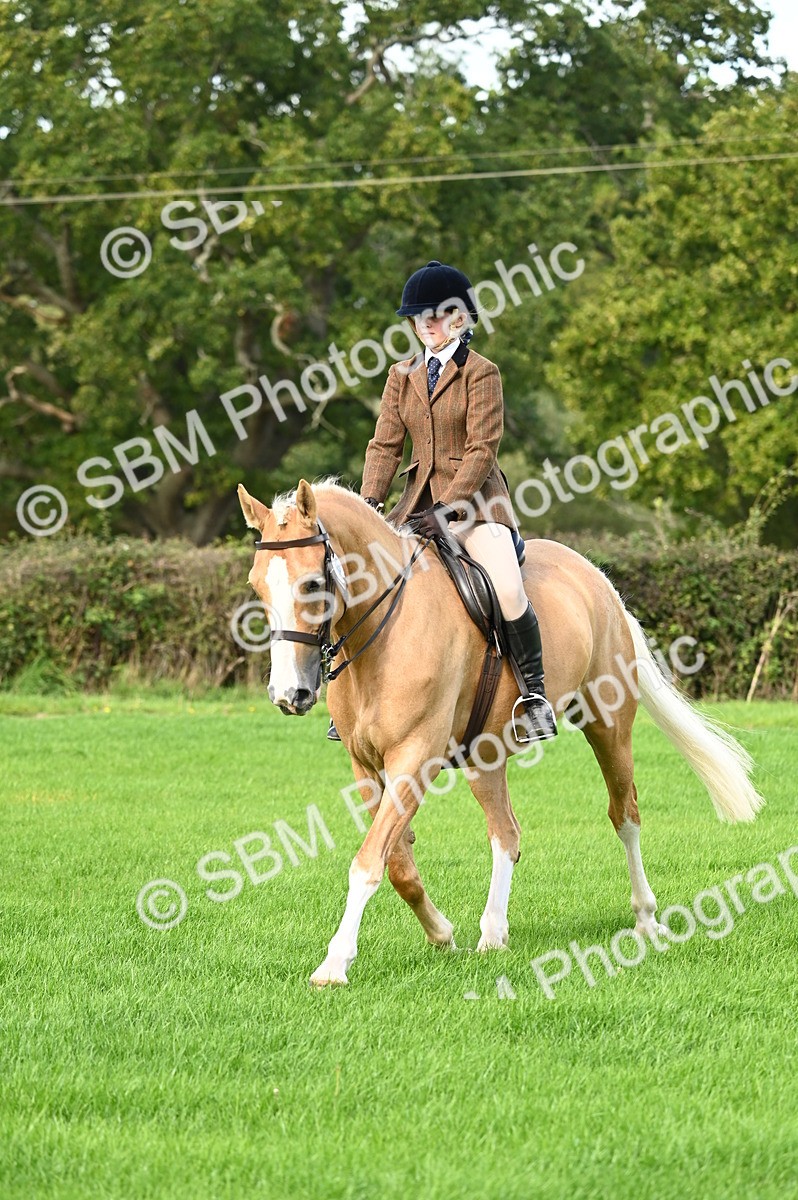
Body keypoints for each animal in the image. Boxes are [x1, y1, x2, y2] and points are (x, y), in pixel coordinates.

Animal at [238, 478, 764, 986]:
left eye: (312, 583)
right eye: (257, 587)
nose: (288, 693)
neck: (384, 635)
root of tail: (597, 578)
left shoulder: (415, 757)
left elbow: (368, 862)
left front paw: (334, 964)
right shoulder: (365, 764)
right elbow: (398, 863)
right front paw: (442, 934)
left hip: (608, 725)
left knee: (625, 814)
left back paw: (646, 919)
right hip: (483, 758)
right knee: (506, 834)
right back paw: (492, 934)